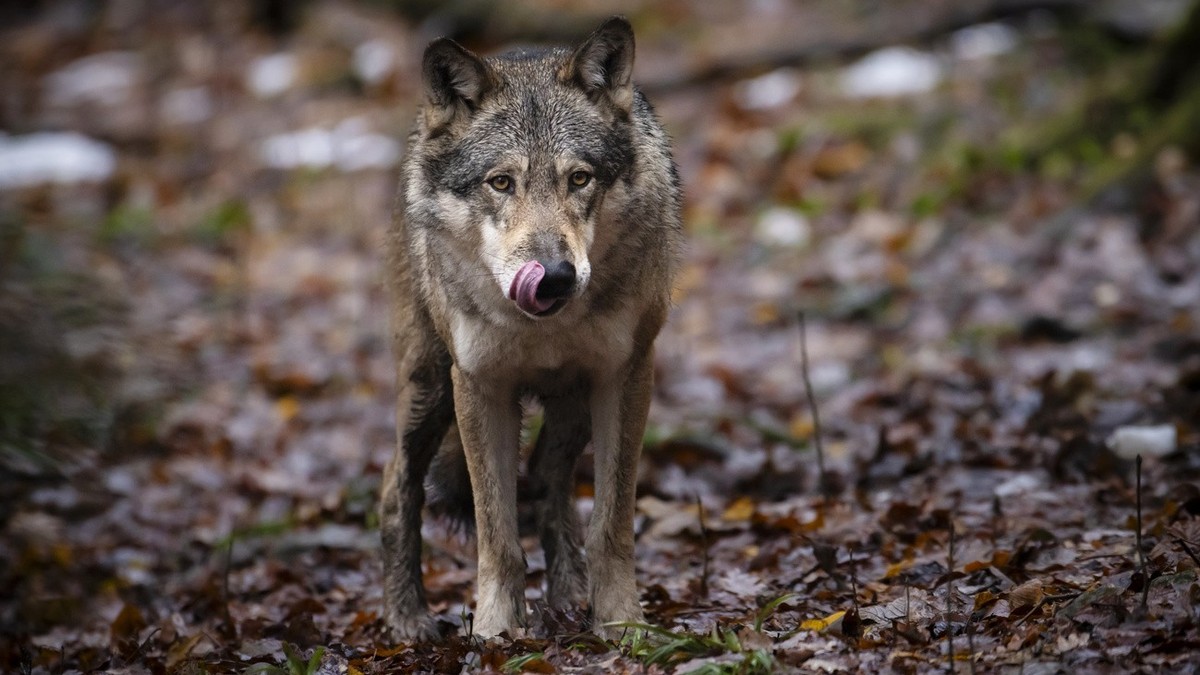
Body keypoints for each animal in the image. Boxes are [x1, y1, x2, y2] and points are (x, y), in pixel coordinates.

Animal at [380, 16, 683, 640]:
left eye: (579, 179)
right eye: (501, 183)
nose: (555, 277)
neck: (545, 327)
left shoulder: (625, 376)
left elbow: (611, 525)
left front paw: (622, 623)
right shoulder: (480, 386)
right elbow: (497, 536)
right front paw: (495, 634)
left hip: (572, 404)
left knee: (547, 481)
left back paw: (567, 598)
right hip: (429, 389)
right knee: (395, 490)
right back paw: (408, 619)